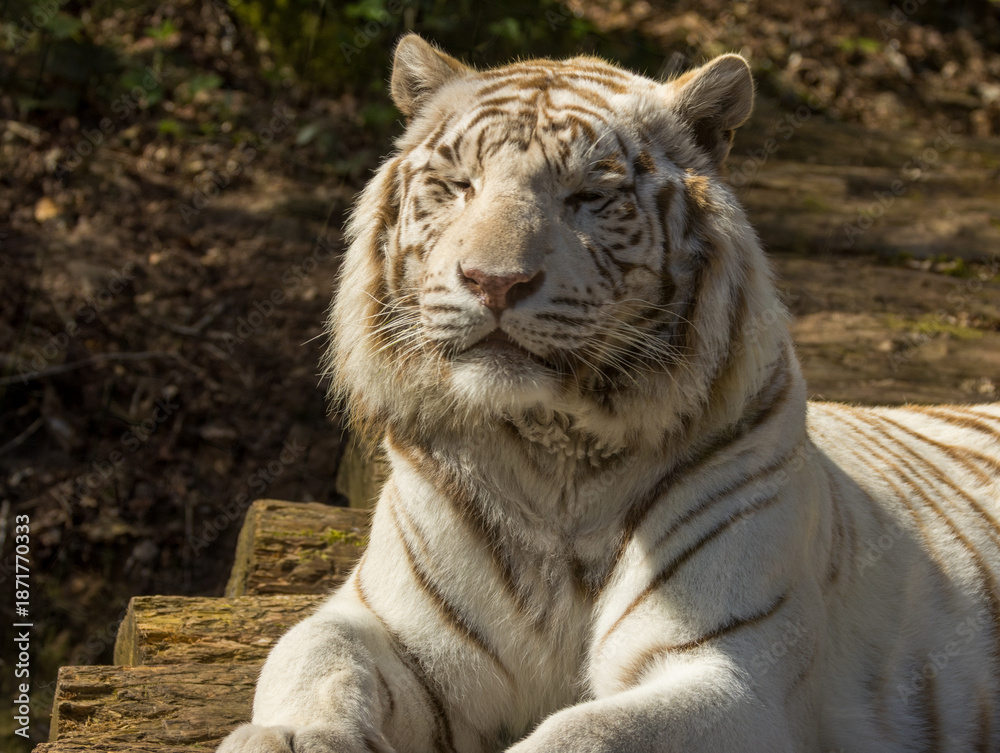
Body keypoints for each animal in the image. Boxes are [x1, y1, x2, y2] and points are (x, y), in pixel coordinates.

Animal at [217, 33, 1000, 753]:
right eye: (461, 184)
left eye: (588, 198)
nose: (493, 281)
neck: (553, 457)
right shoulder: (381, 623)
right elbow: (313, 659)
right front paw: (284, 737)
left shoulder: (732, 668)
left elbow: (582, 732)